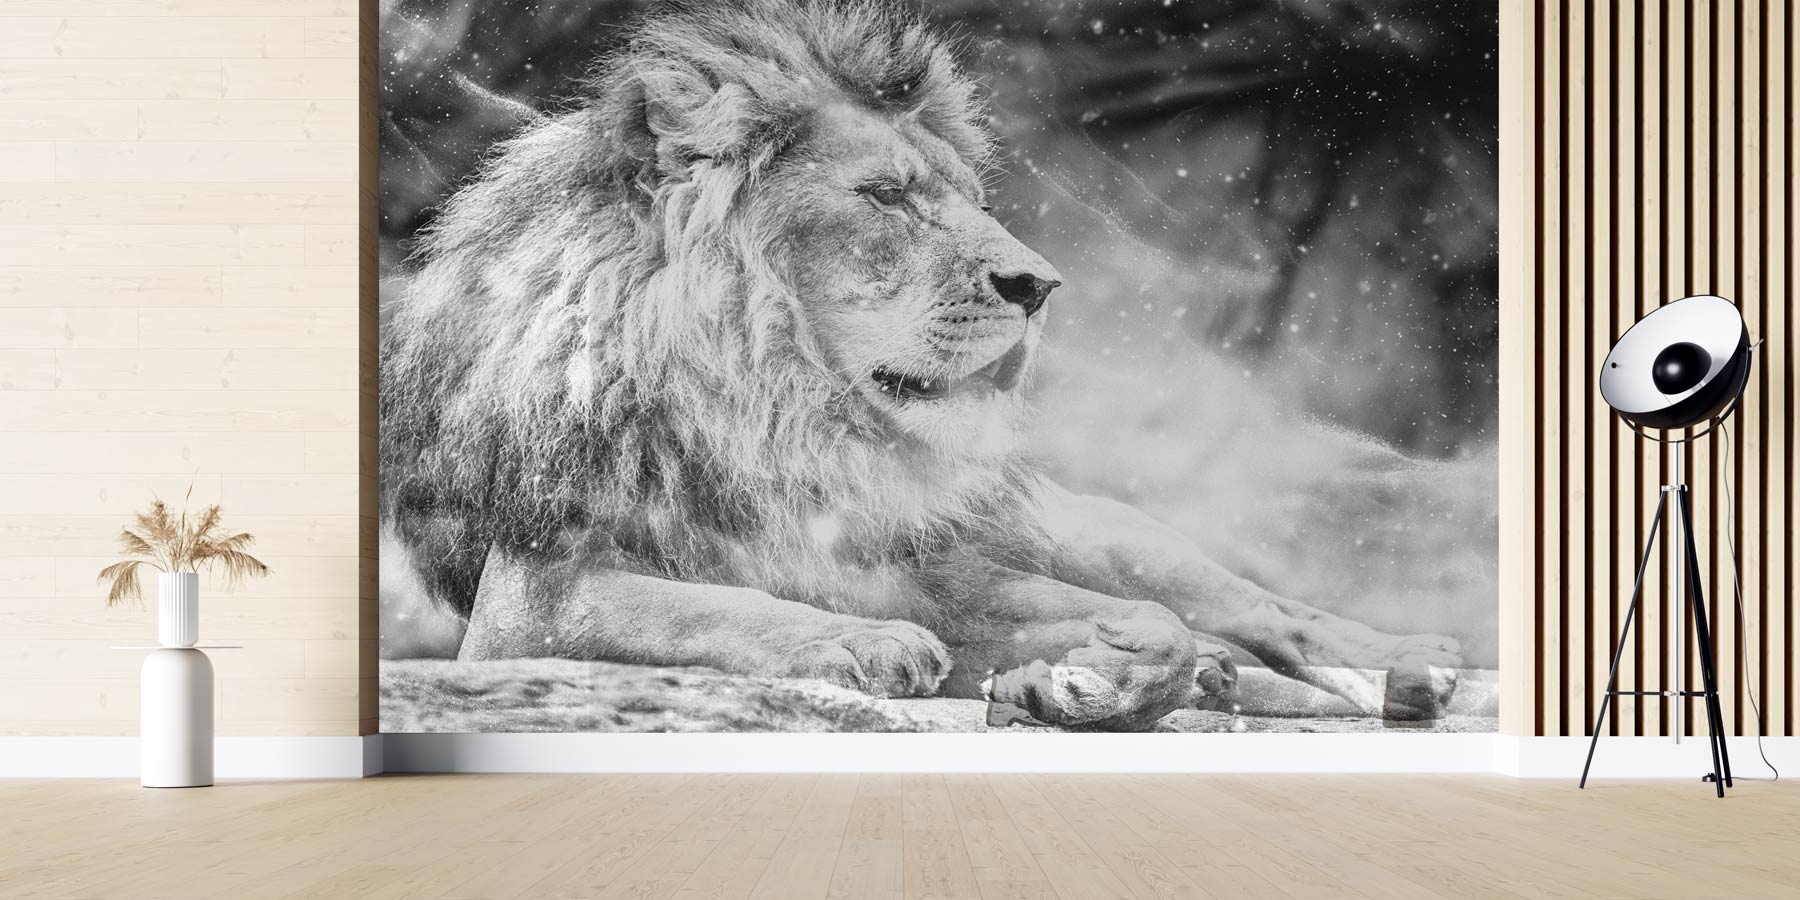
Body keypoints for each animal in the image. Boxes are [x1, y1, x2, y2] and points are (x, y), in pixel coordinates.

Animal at [380, 0, 1462, 730]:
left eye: (968, 199)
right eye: (886, 195)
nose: (1040, 284)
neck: (779, 418)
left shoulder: (953, 579)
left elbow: (1160, 623)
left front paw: (1092, 678)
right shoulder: (531, 606)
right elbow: (700, 606)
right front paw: (863, 645)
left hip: (1100, 530)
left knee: (1257, 609)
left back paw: (1406, 662)